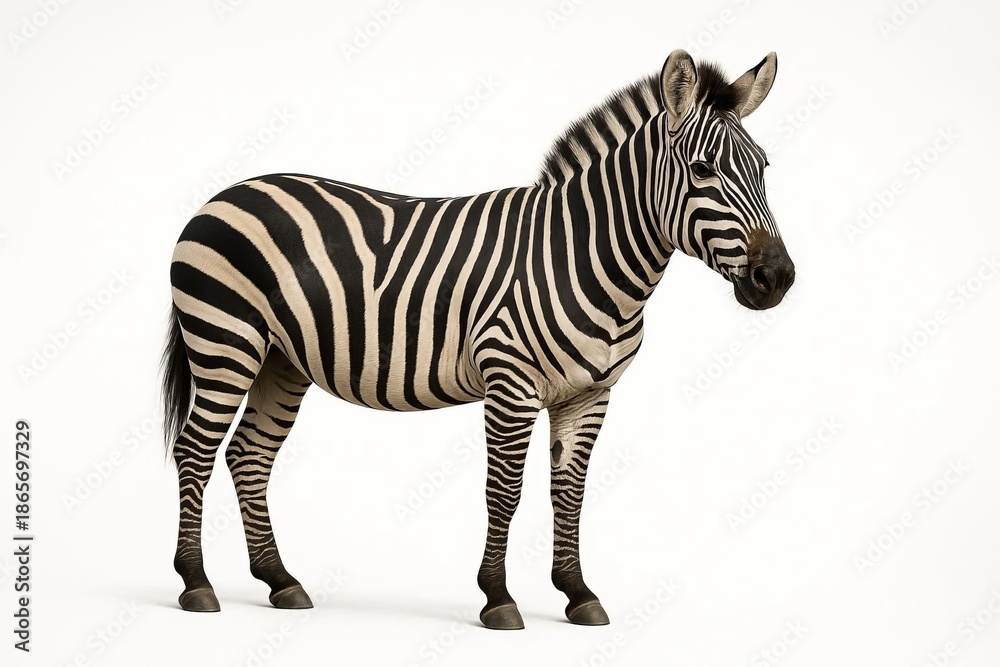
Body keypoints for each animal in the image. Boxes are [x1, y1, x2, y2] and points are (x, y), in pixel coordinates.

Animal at [161, 49, 795, 630]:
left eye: (764, 168)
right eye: (703, 169)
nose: (778, 278)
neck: (582, 257)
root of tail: (226, 193)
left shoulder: (589, 395)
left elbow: (569, 492)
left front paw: (578, 594)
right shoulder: (509, 383)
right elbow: (505, 491)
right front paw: (499, 598)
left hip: (281, 360)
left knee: (249, 454)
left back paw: (280, 581)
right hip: (225, 342)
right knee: (195, 449)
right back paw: (196, 584)